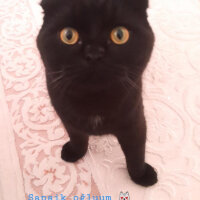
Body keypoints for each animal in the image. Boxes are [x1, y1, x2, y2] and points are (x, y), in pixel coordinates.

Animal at [36, 0, 157, 188]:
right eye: (68, 35)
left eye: (120, 34)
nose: (94, 53)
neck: (94, 101)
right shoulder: (68, 119)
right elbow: (77, 137)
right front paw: (75, 153)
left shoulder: (135, 122)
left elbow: (136, 153)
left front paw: (141, 176)